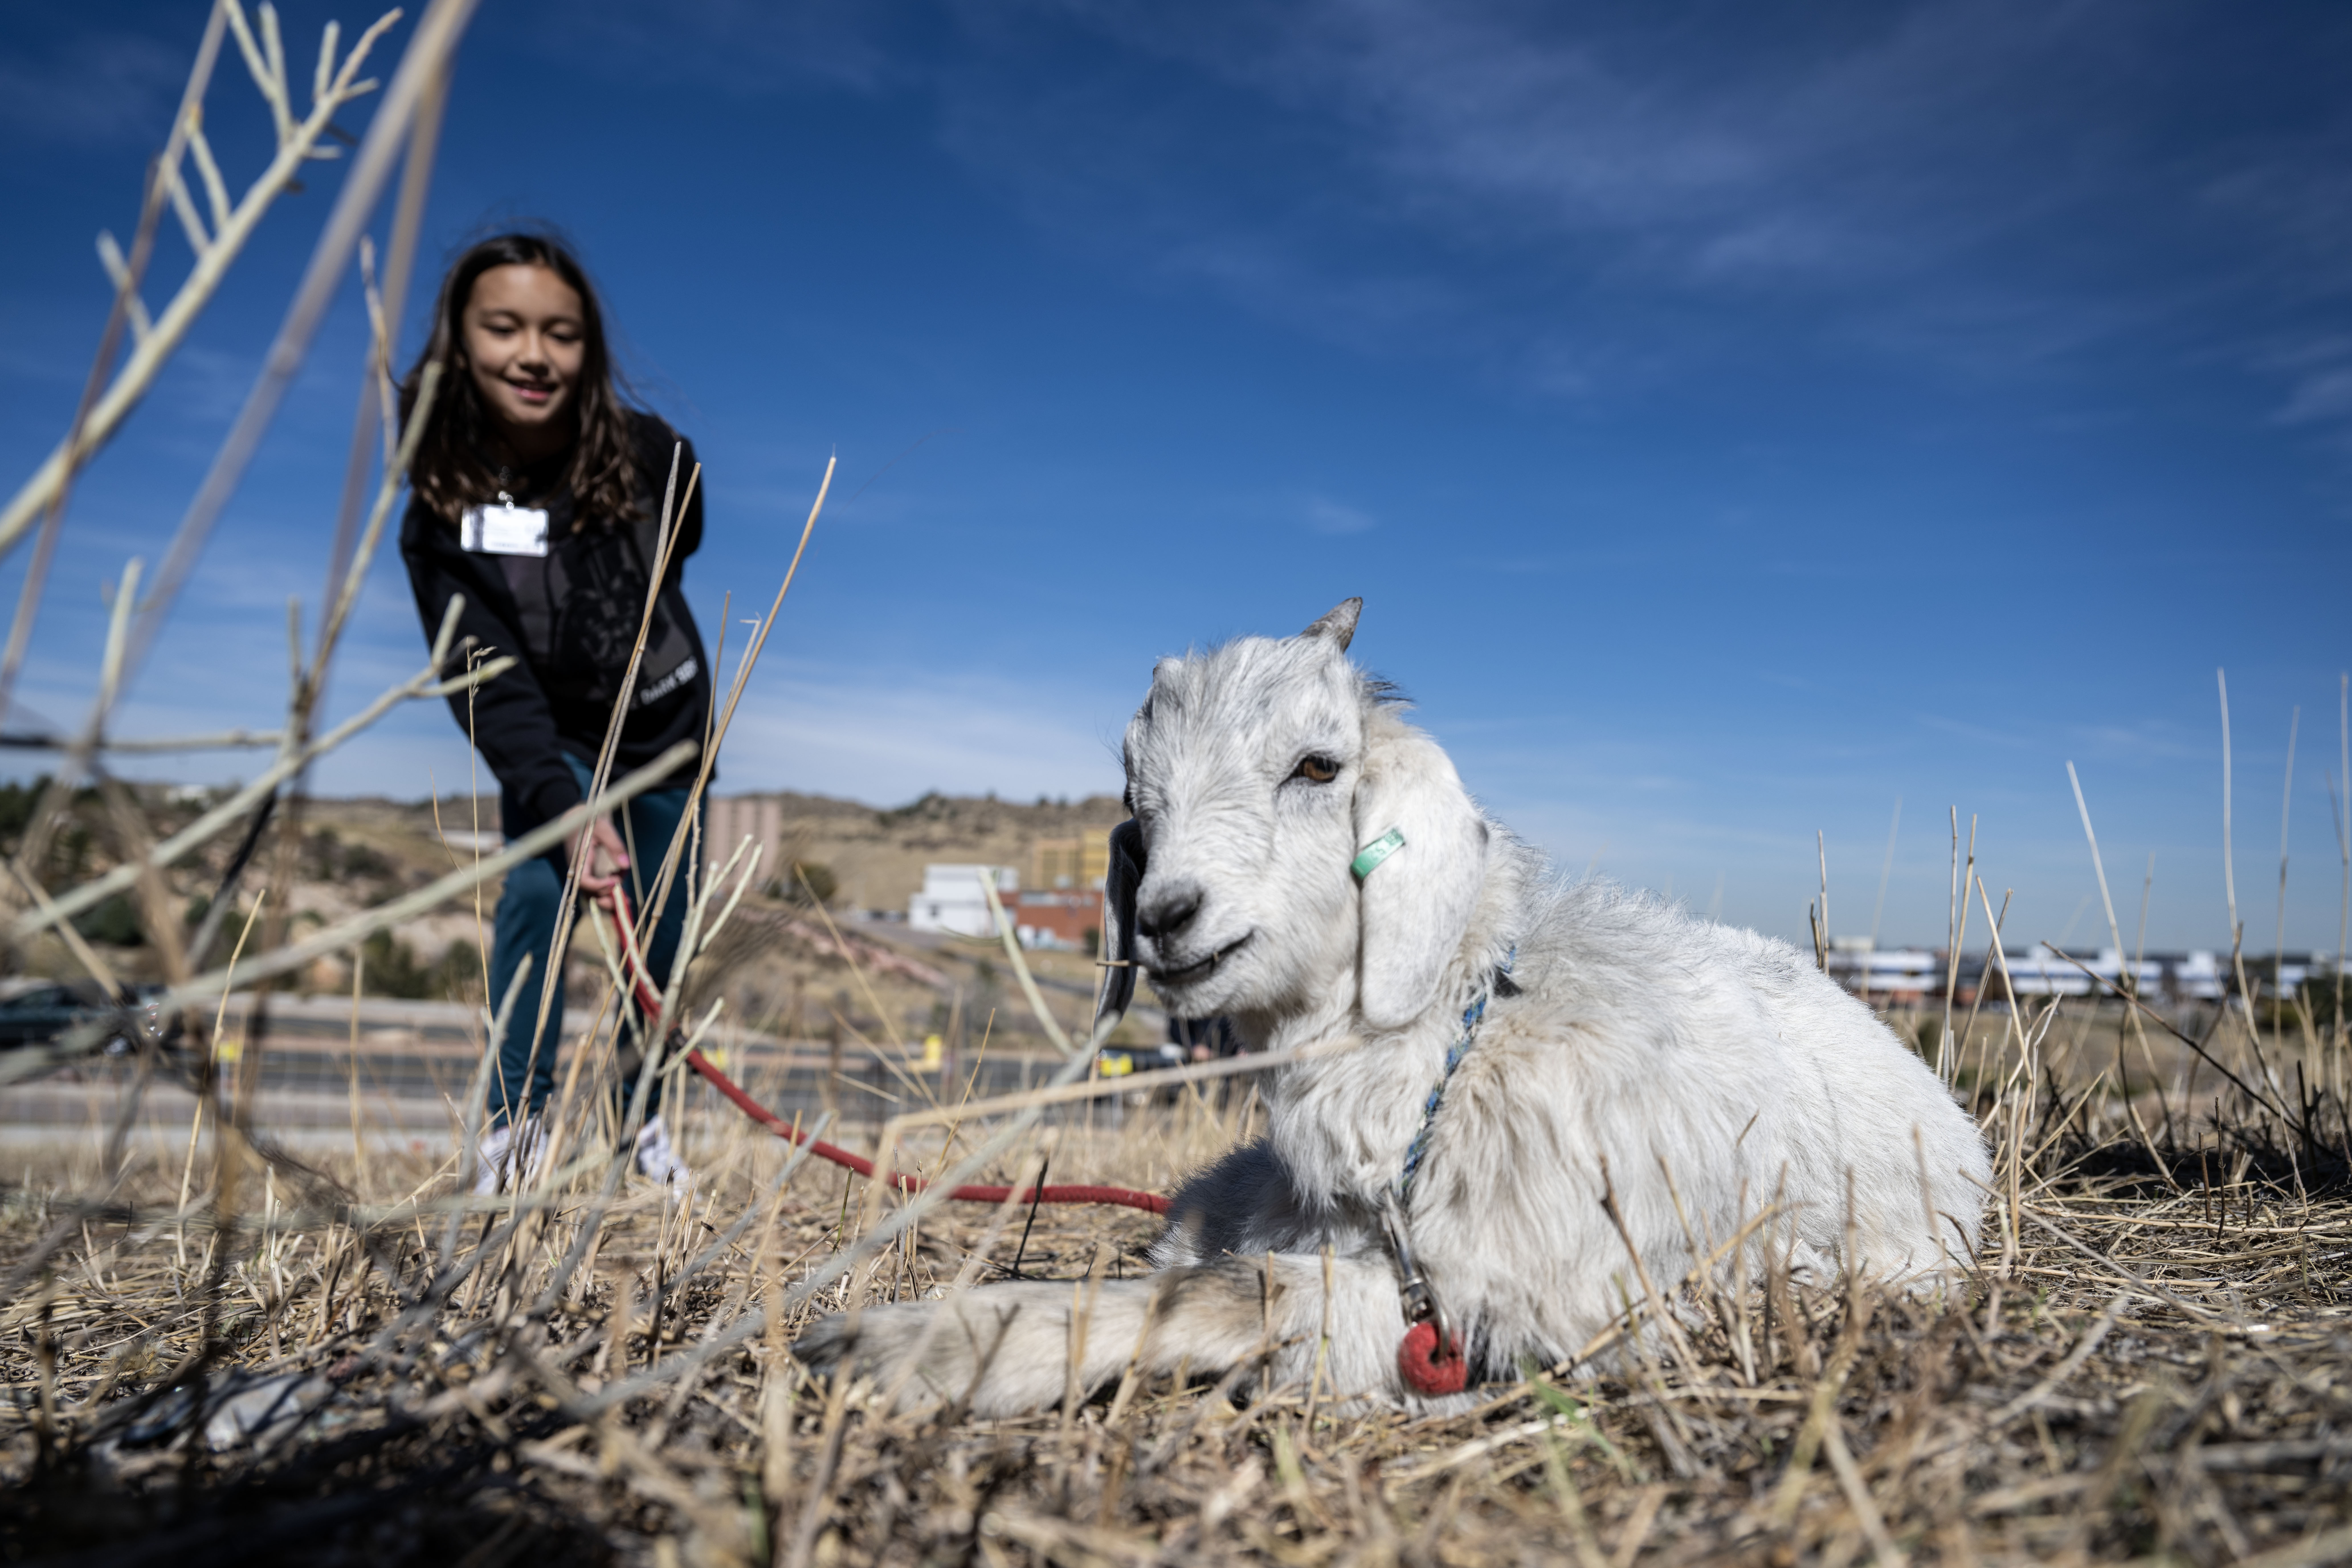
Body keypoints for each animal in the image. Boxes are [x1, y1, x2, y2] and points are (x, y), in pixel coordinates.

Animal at [794, 599, 1990, 1415]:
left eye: (1319, 766)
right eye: (1136, 794)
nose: (1167, 916)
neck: (1450, 1058)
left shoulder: (1531, 1308)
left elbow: (1236, 1291)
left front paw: (911, 1346)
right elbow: (1202, 1263)